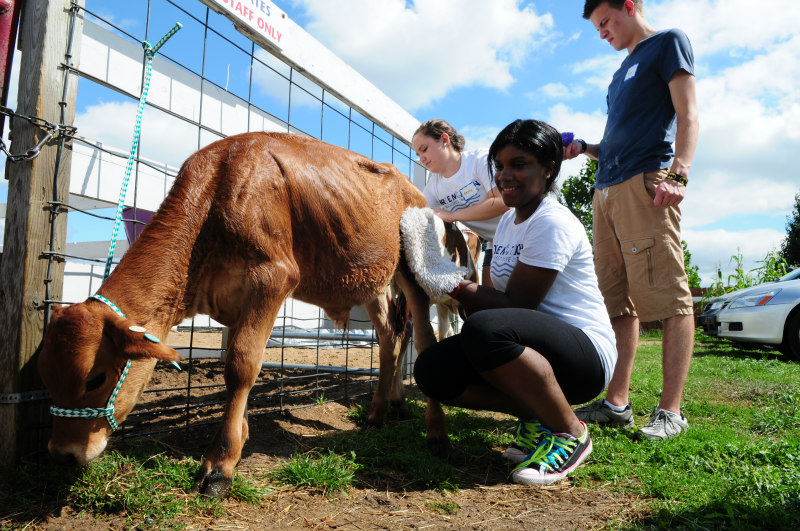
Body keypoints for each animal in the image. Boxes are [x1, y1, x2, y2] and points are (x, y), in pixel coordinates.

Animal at [37, 132, 462, 494]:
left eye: (95, 378)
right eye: (47, 377)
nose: (62, 454)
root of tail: (411, 187)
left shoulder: (273, 277)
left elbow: (241, 364)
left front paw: (220, 464)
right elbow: (237, 364)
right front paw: (238, 435)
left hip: (412, 269)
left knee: (425, 340)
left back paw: (437, 434)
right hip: (373, 279)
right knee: (391, 339)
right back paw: (376, 416)